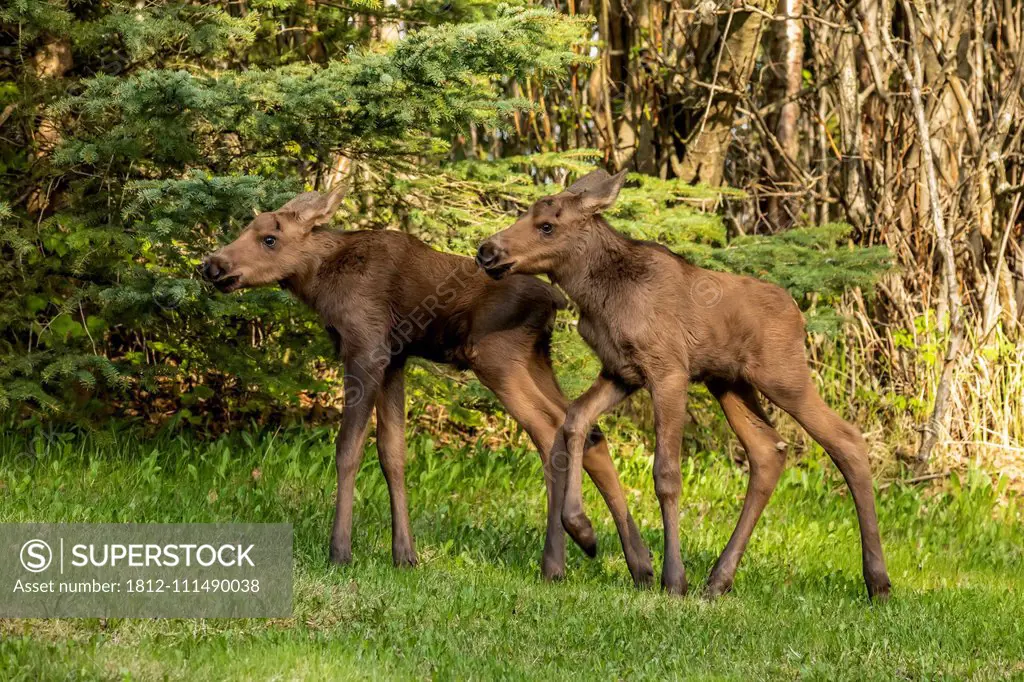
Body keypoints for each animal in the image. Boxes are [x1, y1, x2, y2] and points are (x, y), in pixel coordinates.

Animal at [200, 183, 651, 581]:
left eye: (270, 239)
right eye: (248, 228)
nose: (212, 265)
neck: (321, 282)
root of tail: (556, 300)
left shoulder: (366, 349)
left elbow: (348, 449)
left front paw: (340, 551)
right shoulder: (395, 359)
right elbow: (393, 454)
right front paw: (405, 555)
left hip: (497, 358)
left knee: (551, 431)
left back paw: (560, 559)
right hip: (535, 359)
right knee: (588, 430)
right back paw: (636, 563)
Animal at [477, 166, 888, 598]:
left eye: (547, 226)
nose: (487, 250)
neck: (599, 298)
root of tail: (799, 314)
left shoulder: (669, 371)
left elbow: (666, 474)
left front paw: (673, 578)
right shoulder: (621, 372)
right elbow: (575, 420)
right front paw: (582, 529)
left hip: (783, 375)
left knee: (845, 439)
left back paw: (877, 581)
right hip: (729, 384)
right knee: (768, 451)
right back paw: (719, 579)